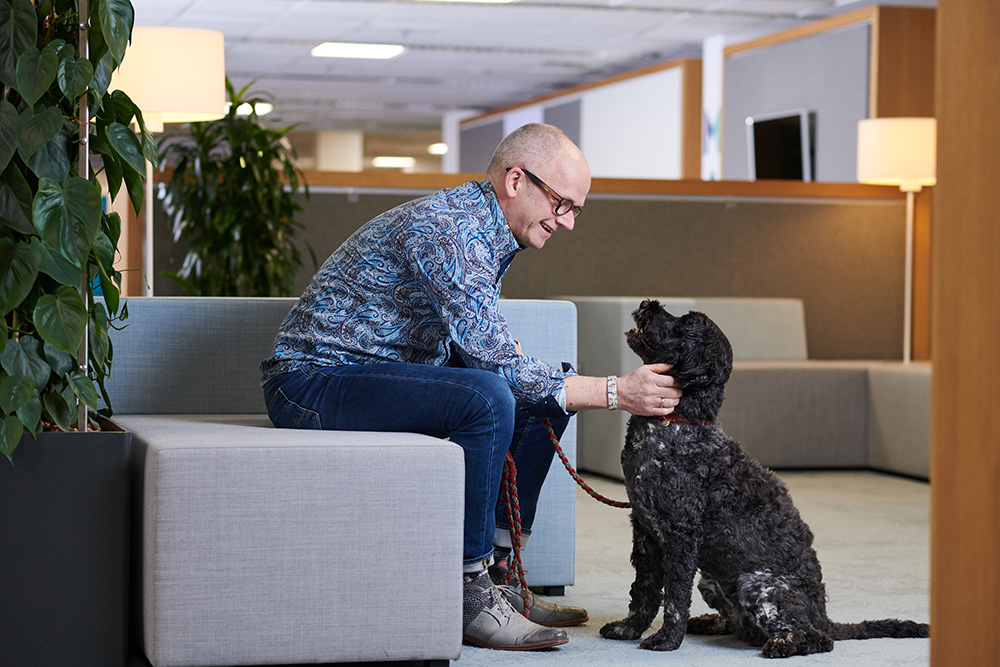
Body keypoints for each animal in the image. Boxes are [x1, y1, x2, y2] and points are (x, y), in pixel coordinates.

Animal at [592, 302, 928, 656]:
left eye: (686, 324)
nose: (647, 304)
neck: (676, 422)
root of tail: (823, 617)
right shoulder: (644, 531)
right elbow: (642, 590)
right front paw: (629, 628)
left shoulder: (680, 535)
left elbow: (675, 596)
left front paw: (667, 639)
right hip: (712, 581)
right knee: (743, 627)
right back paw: (712, 622)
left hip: (757, 584)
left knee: (816, 639)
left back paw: (784, 644)